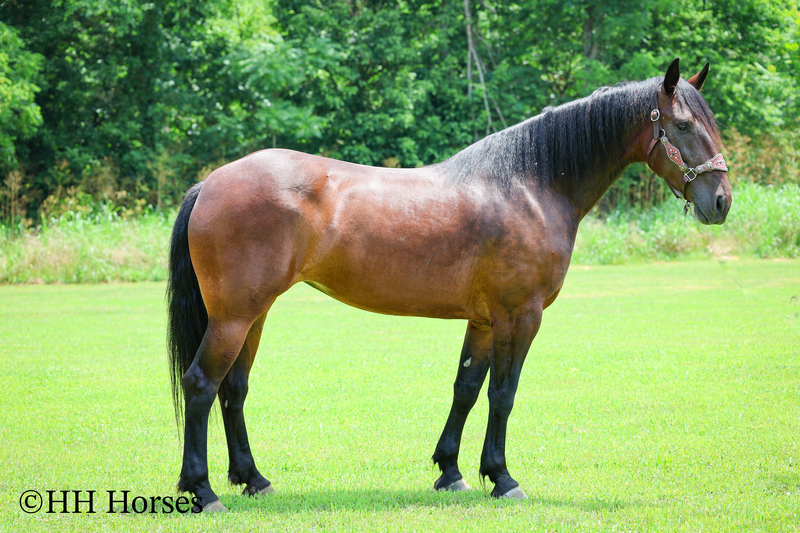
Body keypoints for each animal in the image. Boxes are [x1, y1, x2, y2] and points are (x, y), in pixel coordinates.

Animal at [167, 58, 731, 512]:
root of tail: (210, 182)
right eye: (683, 124)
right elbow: (503, 393)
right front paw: (502, 478)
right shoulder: (520, 317)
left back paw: (253, 479)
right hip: (234, 317)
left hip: (253, 314)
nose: (722, 200)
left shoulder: (483, 321)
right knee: (201, 384)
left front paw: (452, 472)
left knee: (233, 388)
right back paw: (204, 491)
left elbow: (466, 389)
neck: (529, 186)